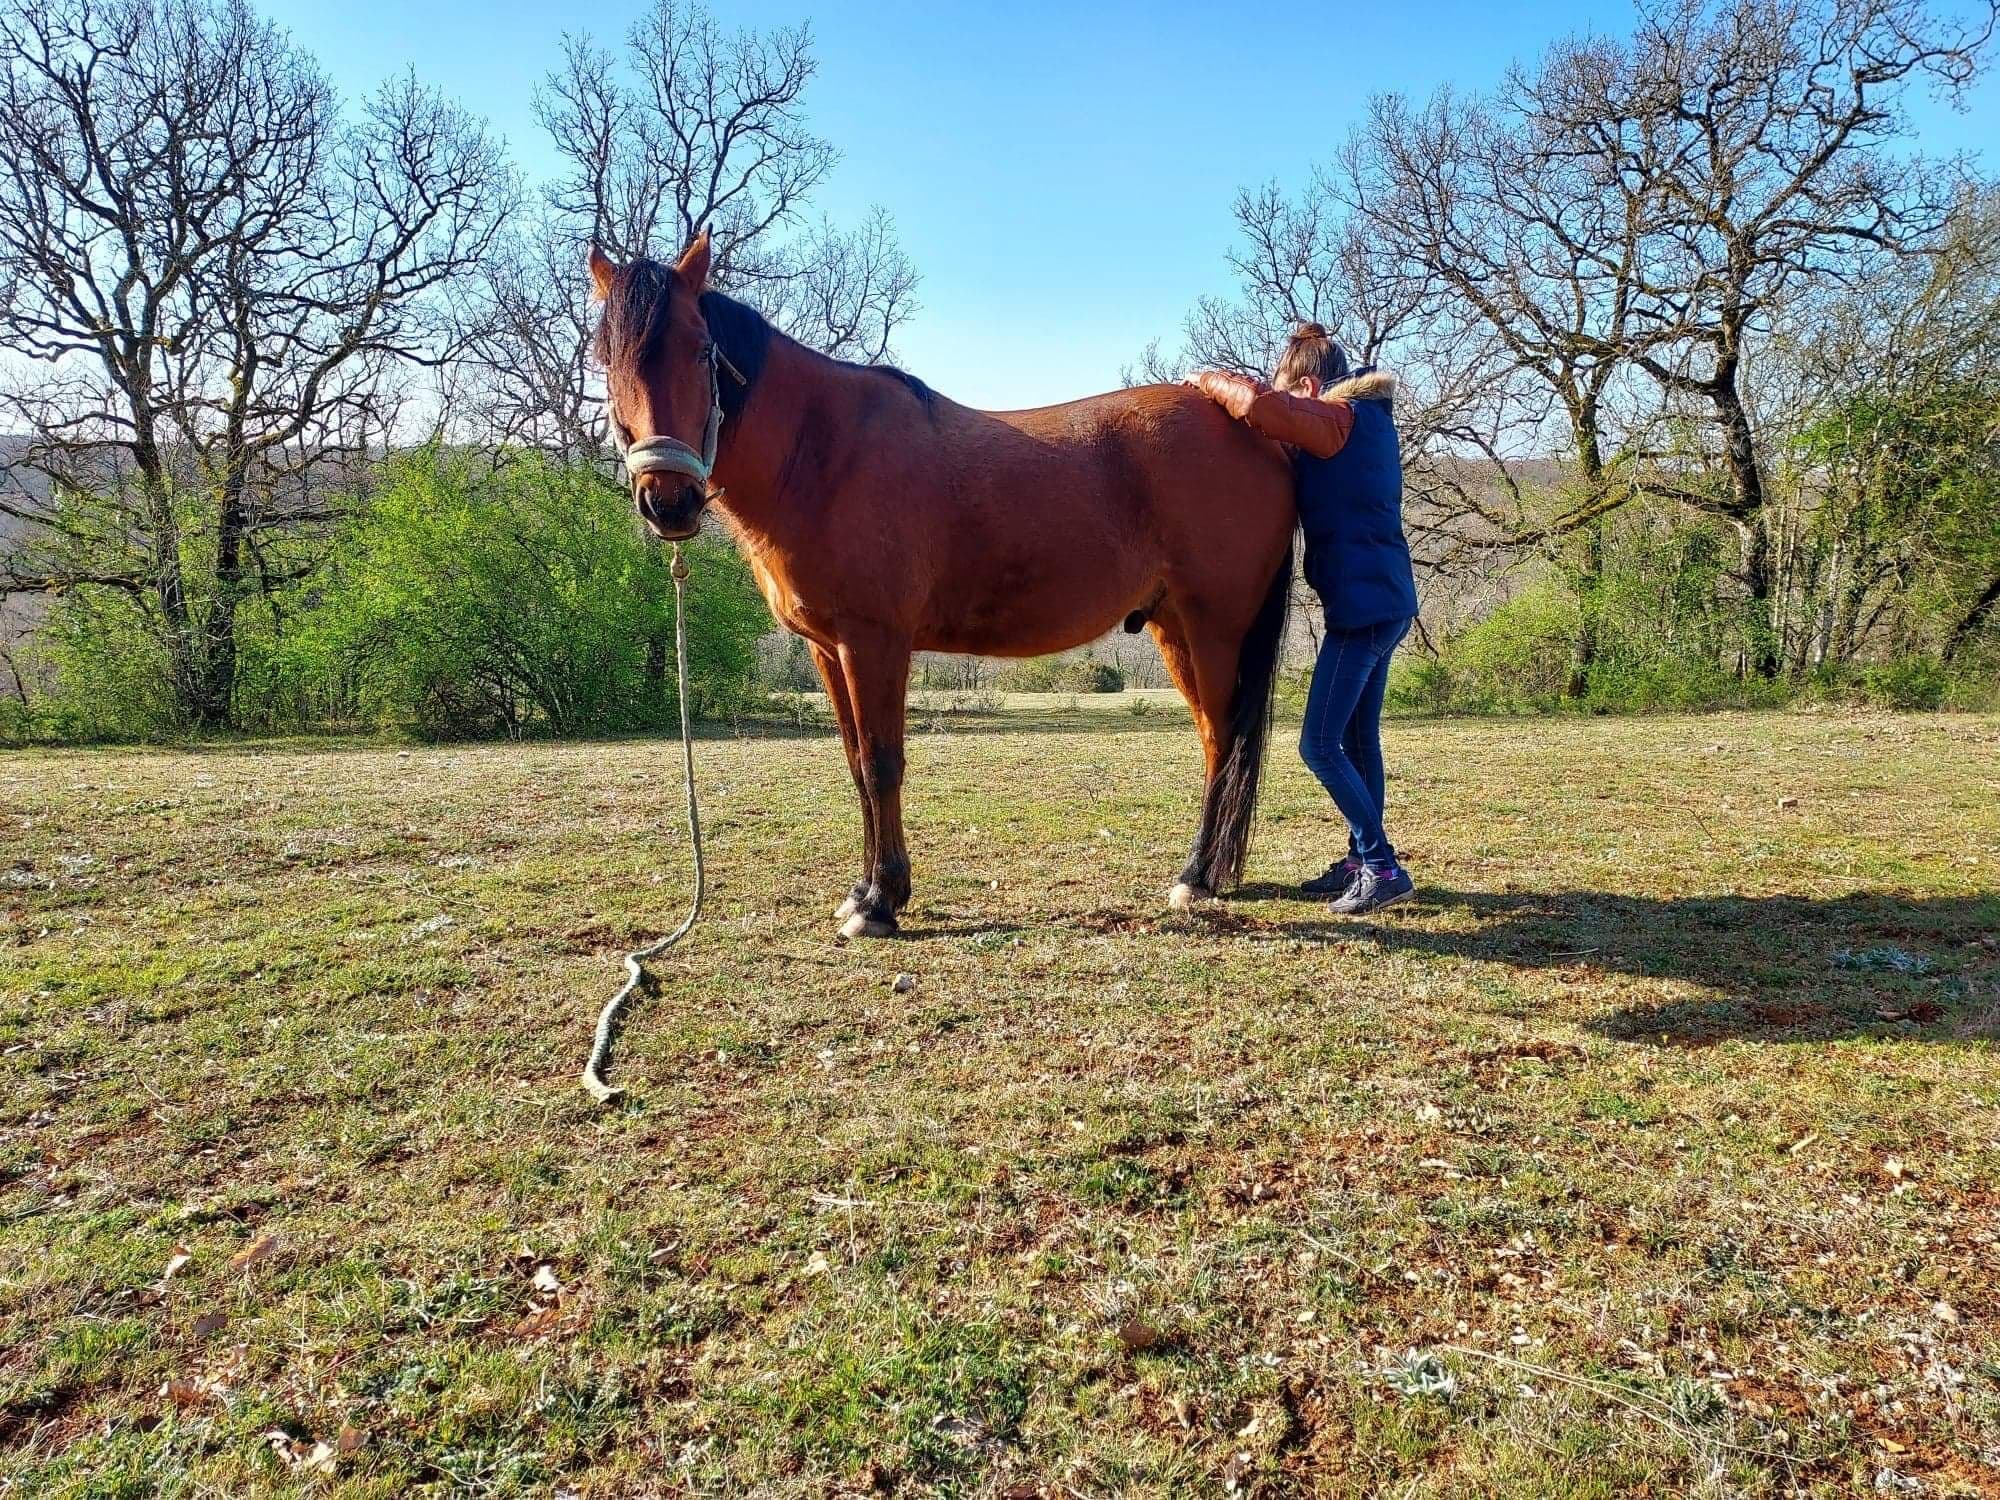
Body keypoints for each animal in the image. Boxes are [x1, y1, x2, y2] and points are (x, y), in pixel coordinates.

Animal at [589, 230, 1296, 940]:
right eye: (606, 357)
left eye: (700, 348)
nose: (668, 502)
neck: (822, 453)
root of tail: (1259, 436)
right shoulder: (827, 648)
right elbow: (856, 763)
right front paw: (864, 890)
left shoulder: (873, 642)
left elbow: (882, 763)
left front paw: (879, 904)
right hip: (1173, 627)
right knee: (1212, 739)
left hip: (1212, 628)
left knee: (1224, 739)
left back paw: (1197, 877)